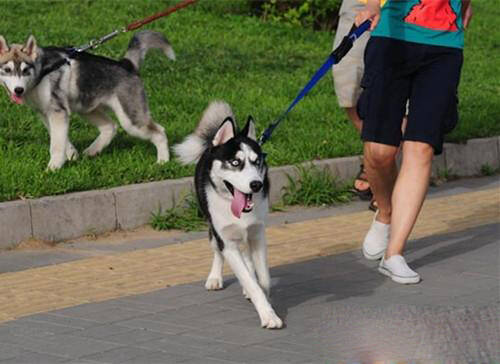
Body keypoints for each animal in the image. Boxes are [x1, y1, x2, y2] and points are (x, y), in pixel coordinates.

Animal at [0, 30, 176, 170]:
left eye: (25, 70)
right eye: (7, 70)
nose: (18, 90)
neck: (42, 72)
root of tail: (126, 64)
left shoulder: (57, 112)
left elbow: (56, 144)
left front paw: (53, 167)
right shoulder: (45, 113)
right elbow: (61, 138)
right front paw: (71, 155)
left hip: (131, 120)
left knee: (159, 131)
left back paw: (163, 161)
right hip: (86, 108)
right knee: (110, 127)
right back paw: (92, 151)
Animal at [175, 101, 284, 328]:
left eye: (257, 161)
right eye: (235, 163)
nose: (256, 184)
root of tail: (211, 146)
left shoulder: (258, 234)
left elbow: (263, 280)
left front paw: (267, 304)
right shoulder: (227, 241)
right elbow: (249, 280)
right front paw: (267, 314)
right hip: (212, 228)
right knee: (217, 251)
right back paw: (215, 277)